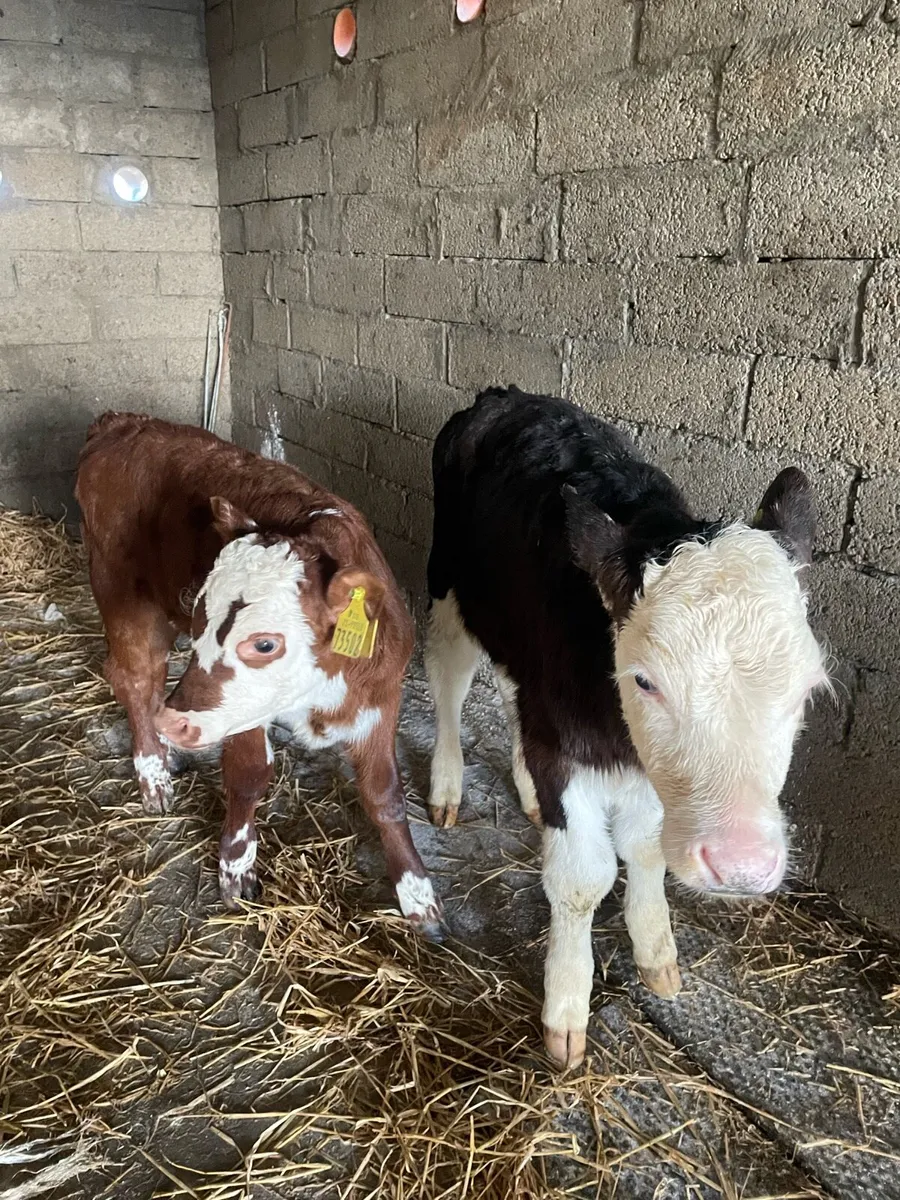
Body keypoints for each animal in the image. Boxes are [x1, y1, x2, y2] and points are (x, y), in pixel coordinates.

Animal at [76, 412, 443, 940]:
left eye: (264, 644)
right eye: (199, 615)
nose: (177, 723)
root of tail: (121, 422)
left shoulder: (380, 696)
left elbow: (386, 794)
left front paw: (417, 894)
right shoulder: (240, 711)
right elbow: (249, 777)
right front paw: (235, 865)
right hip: (122, 594)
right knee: (135, 679)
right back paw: (153, 771)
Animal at [424, 387, 829, 1068]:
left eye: (807, 688)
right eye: (644, 681)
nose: (741, 864)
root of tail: (504, 397)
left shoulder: (648, 770)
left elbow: (644, 848)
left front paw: (656, 952)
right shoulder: (566, 750)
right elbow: (582, 879)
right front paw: (566, 1007)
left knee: (509, 692)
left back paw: (527, 791)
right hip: (449, 585)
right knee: (448, 681)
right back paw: (448, 787)